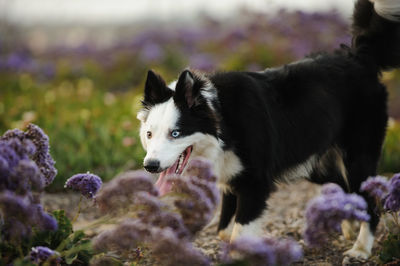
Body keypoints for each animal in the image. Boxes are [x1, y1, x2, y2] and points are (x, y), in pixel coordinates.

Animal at [138, 0, 400, 260]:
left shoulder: (255, 182)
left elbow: (238, 235)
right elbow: (224, 230)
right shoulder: (231, 177)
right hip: (315, 162)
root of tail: (359, 57)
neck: (224, 123)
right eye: (149, 134)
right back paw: (350, 225)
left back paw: (361, 249)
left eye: (175, 133)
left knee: (371, 201)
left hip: (358, 157)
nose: (150, 166)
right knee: (346, 188)